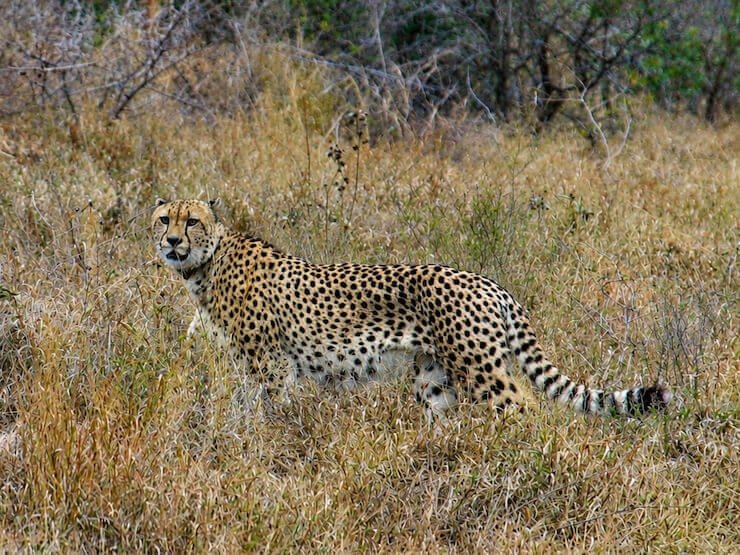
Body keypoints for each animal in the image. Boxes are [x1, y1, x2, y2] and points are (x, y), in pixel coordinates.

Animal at [152, 198, 671, 419]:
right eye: (163, 219)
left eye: (191, 220)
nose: (172, 241)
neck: (206, 263)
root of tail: (489, 281)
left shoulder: (272, 368)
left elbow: (270, 417)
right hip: (434, 376)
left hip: (478, 369)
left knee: (519, 409)